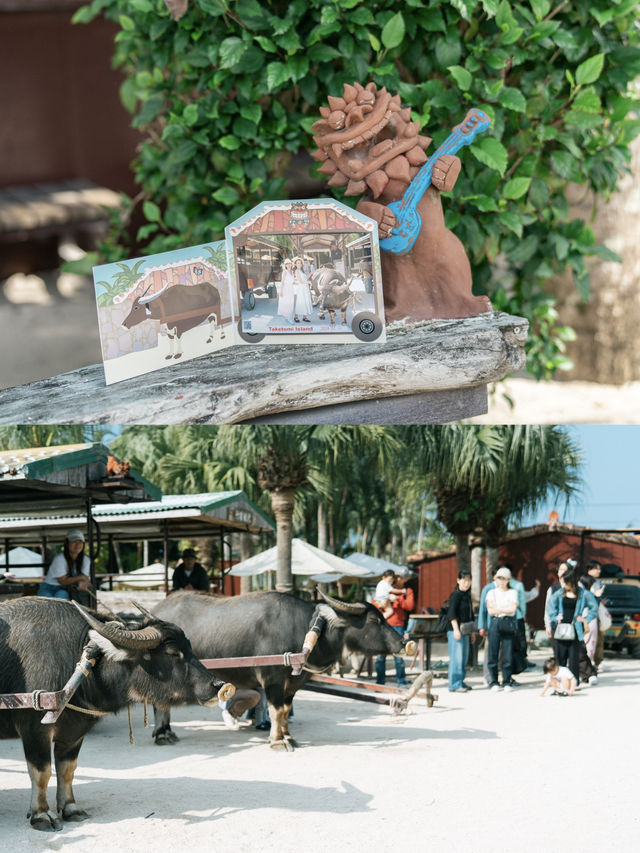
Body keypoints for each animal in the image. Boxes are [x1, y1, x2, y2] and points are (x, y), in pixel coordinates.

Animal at [0, 596, 229, 828]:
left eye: (190, 647)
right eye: (172, 653)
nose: (220, 686)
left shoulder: (74, 732)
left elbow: (67, 770)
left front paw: (71, 808)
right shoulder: (35, 731)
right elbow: (42, 772)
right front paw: (41, 814)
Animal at [151, 588, 404, 748]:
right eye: (374, 620)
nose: (403, 642)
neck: (306, 631)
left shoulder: (292, 684)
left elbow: (284, 711)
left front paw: (288, 736)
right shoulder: (272, 680)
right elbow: (276, 710)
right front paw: (277, 741)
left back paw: (167, 732)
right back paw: (162, 734)